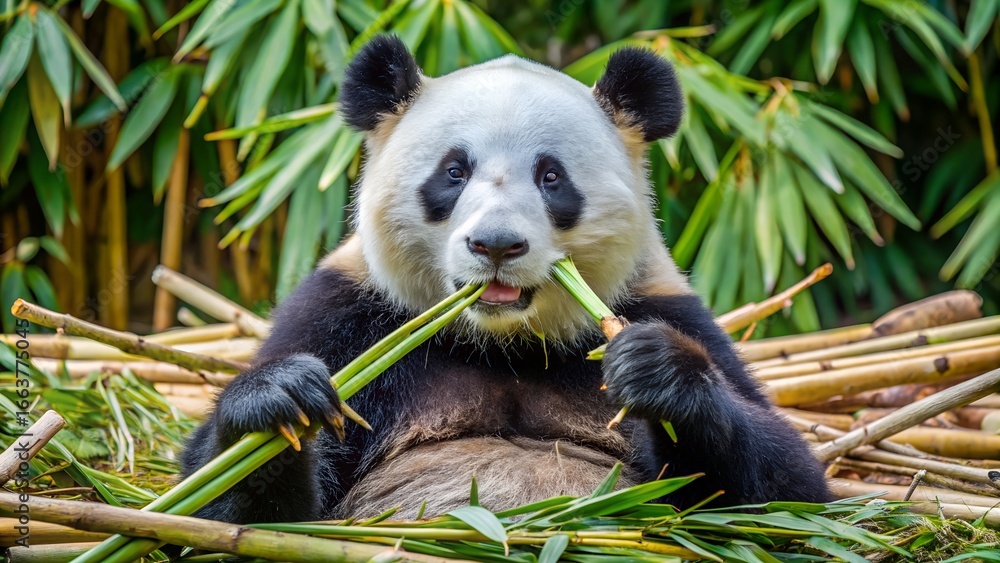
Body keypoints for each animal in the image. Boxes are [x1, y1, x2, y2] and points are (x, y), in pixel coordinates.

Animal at [181, 35, 831, 524]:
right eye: (453, 172)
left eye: (551, 176)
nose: (495, 245)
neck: (504, 343)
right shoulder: (346, 314)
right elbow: (228, 503)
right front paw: (280, 400)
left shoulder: (667, 306)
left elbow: (787, 492)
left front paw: (657, 369)